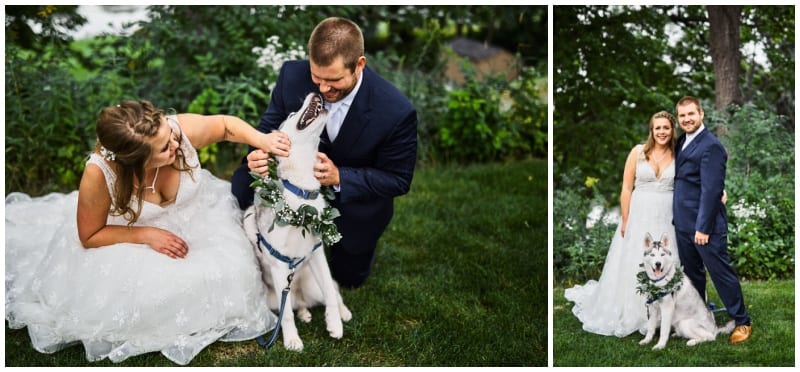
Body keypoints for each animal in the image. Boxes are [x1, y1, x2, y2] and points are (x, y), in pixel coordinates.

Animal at [244, 93, 350, 352]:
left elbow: (330, 292)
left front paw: (335, 324)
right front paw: (292, 339)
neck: (302, 197)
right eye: (291, 115)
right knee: (291, 304)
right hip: (274, 297)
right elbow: (286, 315)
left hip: (313, 284)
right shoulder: (280, 265)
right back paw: (304, 313)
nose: (317, 93)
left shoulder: (318, 253)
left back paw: (343, 313)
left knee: (333, 290)